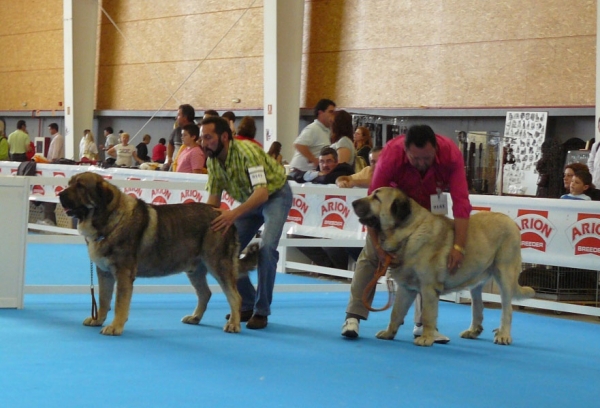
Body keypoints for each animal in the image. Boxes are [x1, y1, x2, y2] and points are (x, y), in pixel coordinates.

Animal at [58, 171, 258, 334]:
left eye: (80, 186)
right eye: (69, 183)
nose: (60, 194)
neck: (109, 221)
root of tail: (225, 215)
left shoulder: (123, 274)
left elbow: (119, 303)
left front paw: (115, 327)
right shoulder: (104, 272)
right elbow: (103, 299)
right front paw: (98, 319)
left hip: (218, 265)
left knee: (235, 297)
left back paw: (233, 324)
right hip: (195, 270)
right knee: (205, 293)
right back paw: (195, 317)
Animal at [352, 186, 536, 346]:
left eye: (376, 198)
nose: (353, 202)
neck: (410, 232)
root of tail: (510, 221)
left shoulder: (428, 288)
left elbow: (427, 315)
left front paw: (426, 338)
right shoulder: (406, 288)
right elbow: (396, 312)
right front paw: (389, 333)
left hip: (504, 274)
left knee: (507, 309)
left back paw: (503, 335)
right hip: (476, 281)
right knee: (478, 306)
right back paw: (473, 330)